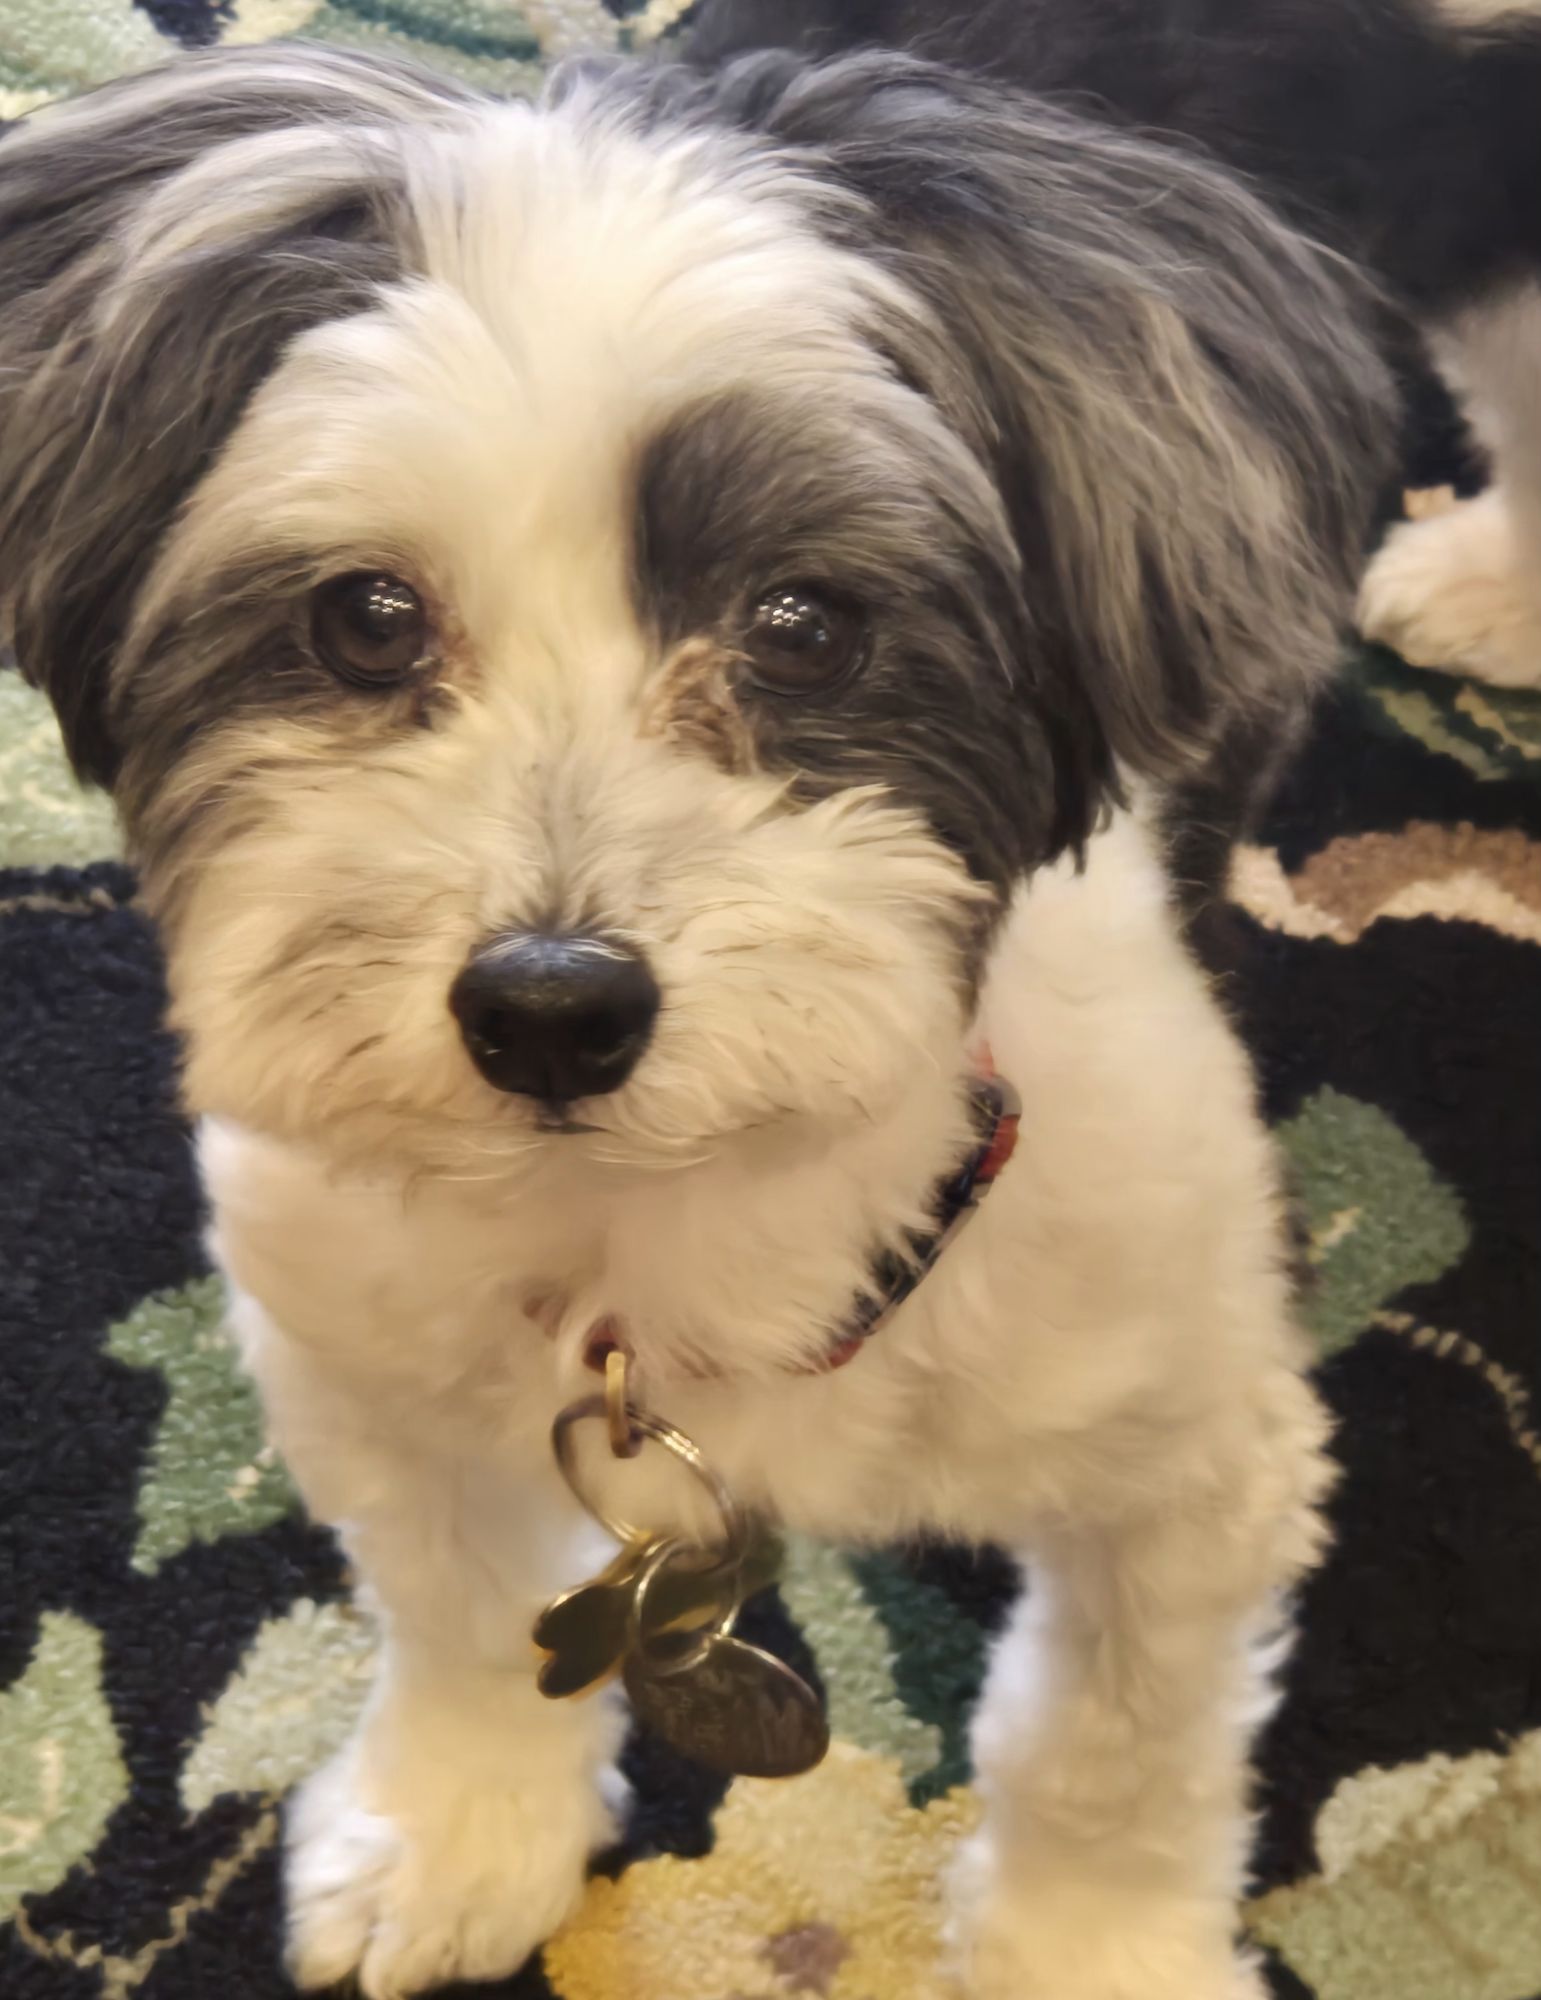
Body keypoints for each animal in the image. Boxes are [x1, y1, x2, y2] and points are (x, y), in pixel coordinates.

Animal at [0, 37, 1393, 2000]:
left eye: (804, 622)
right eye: (364, 617)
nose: (551, 1007)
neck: (679, 1208)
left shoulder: (1187, 1451)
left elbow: (1112, 1742)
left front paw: (1087, 1951)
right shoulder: (361, 1342)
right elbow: (453, 1600)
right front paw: (458, 1824)